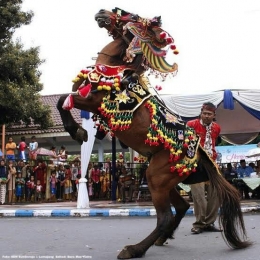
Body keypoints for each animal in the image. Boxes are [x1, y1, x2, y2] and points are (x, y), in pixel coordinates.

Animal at [57, 7, 252, 258]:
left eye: (129, 15)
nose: (101, 12)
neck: (112, 71)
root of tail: (199, 151)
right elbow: (66, 96)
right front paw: (78, 130)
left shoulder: (93, 102)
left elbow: (63, 99)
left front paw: (78, 132)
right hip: (166, 178)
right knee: (181, 206)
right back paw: (161, 238)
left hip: (156, 178)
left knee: (165, 216)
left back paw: (135, 249)